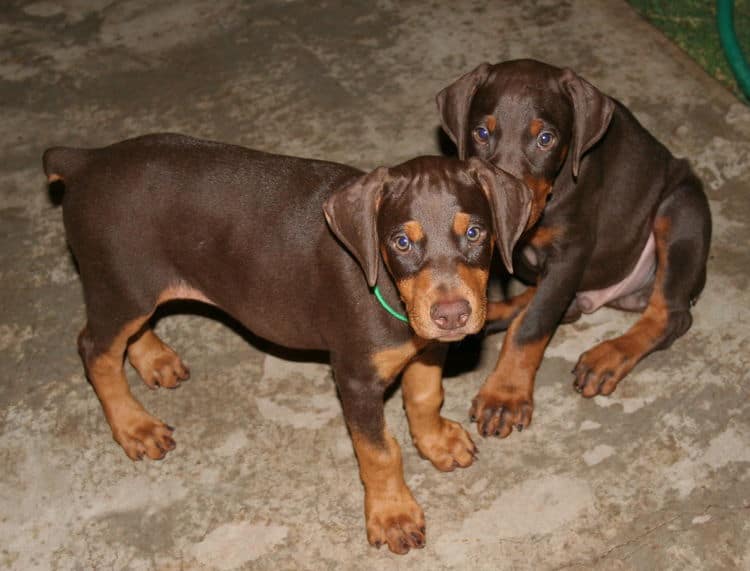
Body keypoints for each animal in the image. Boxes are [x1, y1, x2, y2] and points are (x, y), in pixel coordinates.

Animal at [42, 133, 536, 556]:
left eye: (474, 233)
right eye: (400, 242)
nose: (452, 315)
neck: (388, 288)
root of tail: (88, 162)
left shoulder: (429, 346)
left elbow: (424, 397)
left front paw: (436, 442)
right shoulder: (355, 377)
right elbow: (379, 451)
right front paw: (392, 515)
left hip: (136, 289)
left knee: (129, 333)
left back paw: (154, 359)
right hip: (118, 284)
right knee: (94, 349)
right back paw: (134, 426)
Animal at [434, 59, 712, 438]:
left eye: (545, 138)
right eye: (481, 133)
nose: (506, 208)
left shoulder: (571, 253)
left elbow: (533, 324)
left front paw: (505, 395)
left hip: (680, 209)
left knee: (670, 314)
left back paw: (609, 355)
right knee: (556, 304)